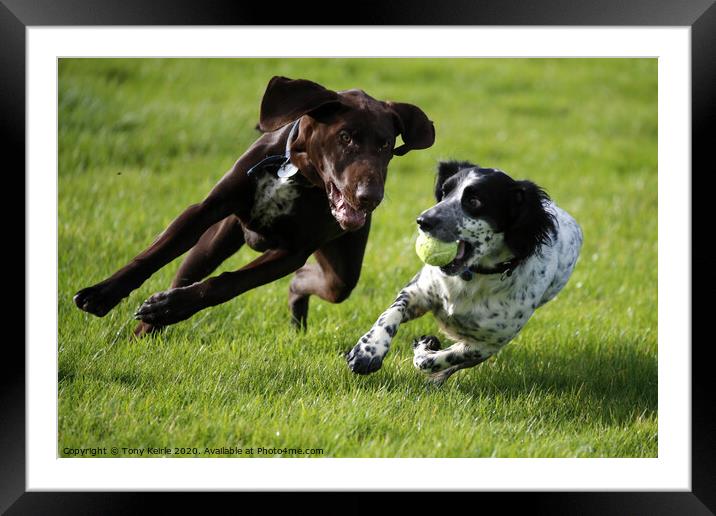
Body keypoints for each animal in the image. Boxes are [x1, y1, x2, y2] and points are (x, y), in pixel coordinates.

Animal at [75, 76, 440, 334]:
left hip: (342, 270)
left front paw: (169, 308)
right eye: (345, 138)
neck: (295, 175)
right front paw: (103, 294)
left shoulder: (292, 253)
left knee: (314, 282)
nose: (370, 197)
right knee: (185, 273)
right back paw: (146, 328)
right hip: (215, 241)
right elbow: (155, 254)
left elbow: (227, 283)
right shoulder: (206, 211)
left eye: (386, 145)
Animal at [346, 161, 580, 382]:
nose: (423, 220)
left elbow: (433, 360)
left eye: (474, 201)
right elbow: (389, 314)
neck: (473, 276)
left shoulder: (486, 345)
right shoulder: (418, 292)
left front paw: (426, 348)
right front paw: (368, 350)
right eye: (444, 192)